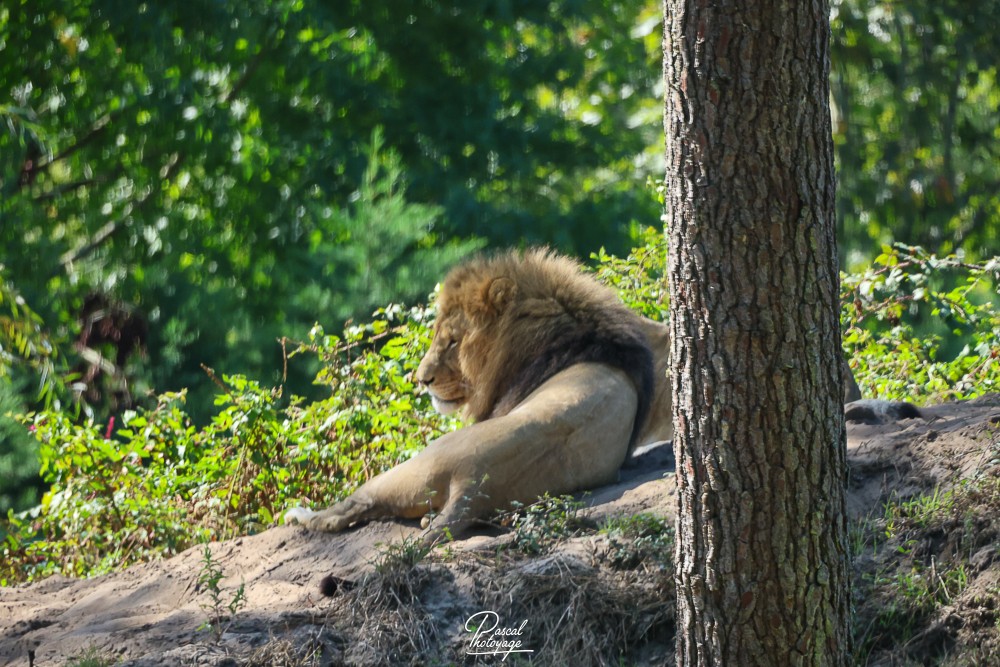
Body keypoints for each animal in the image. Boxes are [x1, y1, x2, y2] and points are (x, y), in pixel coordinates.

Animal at [284, 248, 673, 538]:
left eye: (452, 341)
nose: (421, 380)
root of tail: (473, 484)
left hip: (413, 466)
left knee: (350, 507)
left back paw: (301, 515)